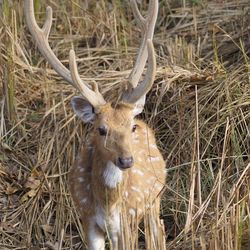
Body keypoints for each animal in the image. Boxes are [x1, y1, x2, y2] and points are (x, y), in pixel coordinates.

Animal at [24, 0, 166, 249]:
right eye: (101, 129)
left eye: (131, 127)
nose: (126, 160)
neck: (108, 206)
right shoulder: (87, 217)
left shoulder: (127, 221)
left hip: (153, 199)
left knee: (159, 230)